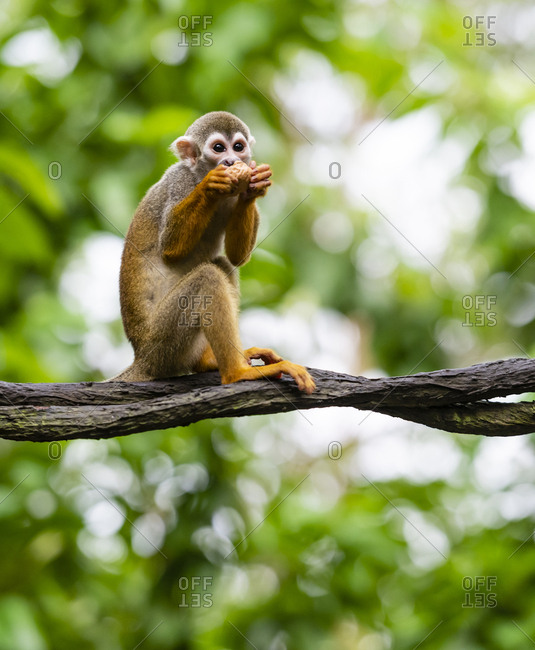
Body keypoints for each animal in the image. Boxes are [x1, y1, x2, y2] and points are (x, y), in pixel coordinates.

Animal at [109, 111, 315, 394]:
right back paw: (236, 373)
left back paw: (210, 362)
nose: (231, 161)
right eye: (218, 148)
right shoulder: (179, 182)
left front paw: (253, 188)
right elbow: (170, 248)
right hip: (162, 344)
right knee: (207, 277)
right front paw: (210, 185)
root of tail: (141, 359)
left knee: (222, 265)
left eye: (238, 147)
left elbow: (237, 257)